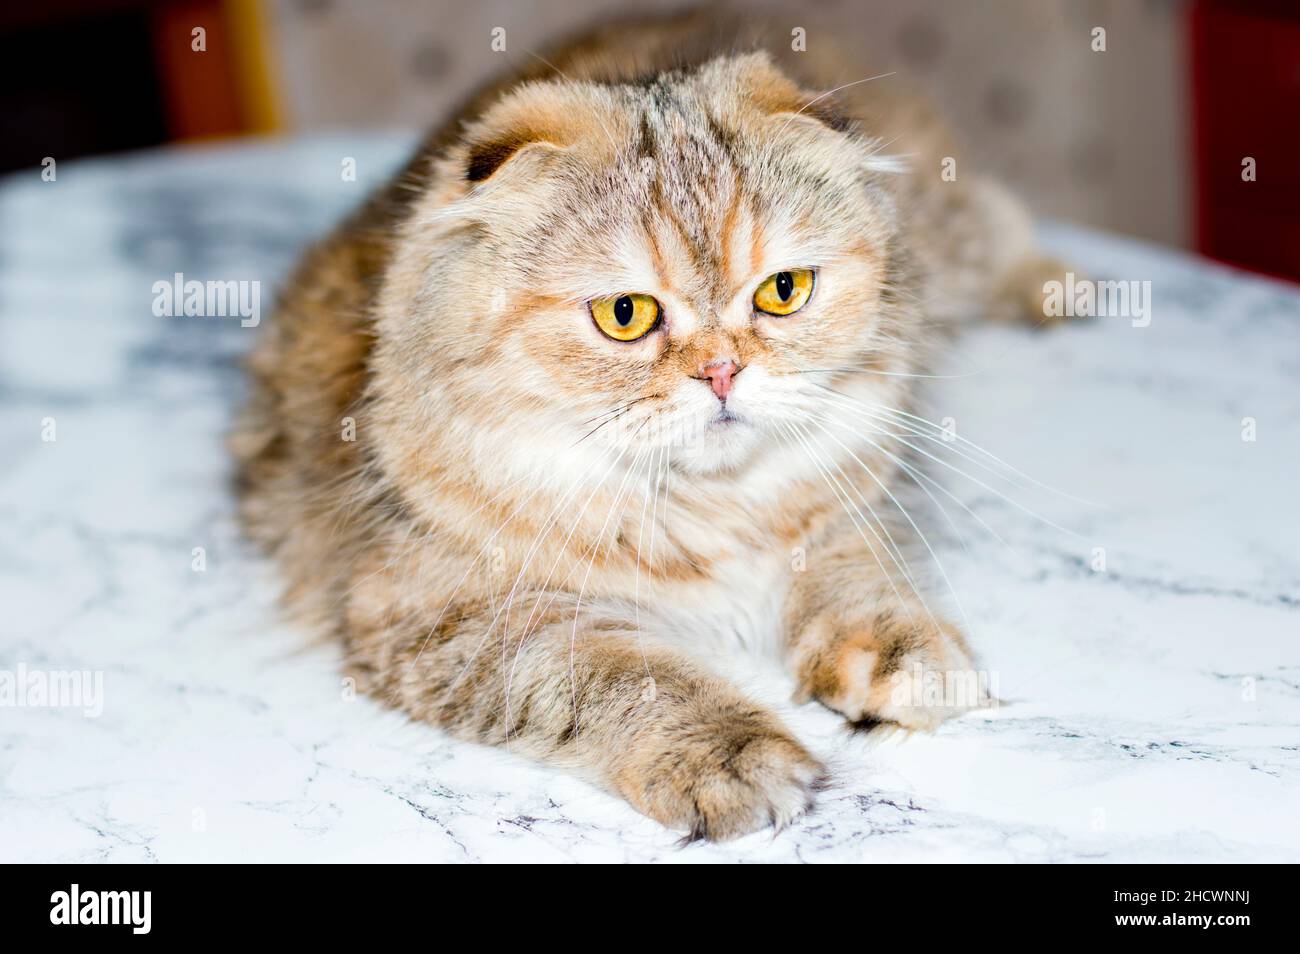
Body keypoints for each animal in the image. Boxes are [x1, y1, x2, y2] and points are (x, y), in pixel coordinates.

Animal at [233, 9, 1066, 842]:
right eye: (625, 314)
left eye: (784, 291)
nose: (722, 372)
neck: (709, 509)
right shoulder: (445, 613)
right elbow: (625, 678)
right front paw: (735, 756)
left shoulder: (847, 503)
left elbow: (856, 578)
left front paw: (904, 656)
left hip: (954, 233)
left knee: (1002, 227)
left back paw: (1060, 293)